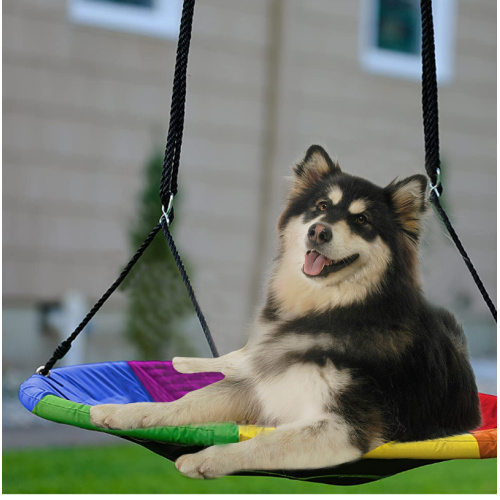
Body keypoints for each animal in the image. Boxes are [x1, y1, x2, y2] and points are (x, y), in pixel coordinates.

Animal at [90, 144, 480, 476]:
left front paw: (208, 459)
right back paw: (185, 363)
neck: (326, 310)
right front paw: (124, 411)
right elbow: (183, 403)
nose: (319, 232)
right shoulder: (260, 384)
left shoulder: (344, 425)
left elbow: (266, 442)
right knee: (236, 360)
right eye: (321, 206)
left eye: (362, 221)